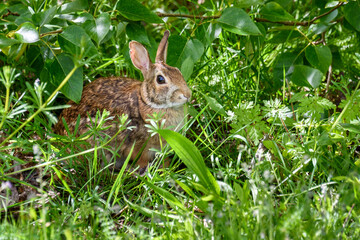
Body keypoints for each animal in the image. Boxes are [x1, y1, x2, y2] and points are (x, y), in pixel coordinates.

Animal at [53, 30, 191, 171]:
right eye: (160, 79)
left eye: (178, 71)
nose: (187, 95)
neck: (148, 102)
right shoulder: (139, 145)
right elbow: (141, 158)